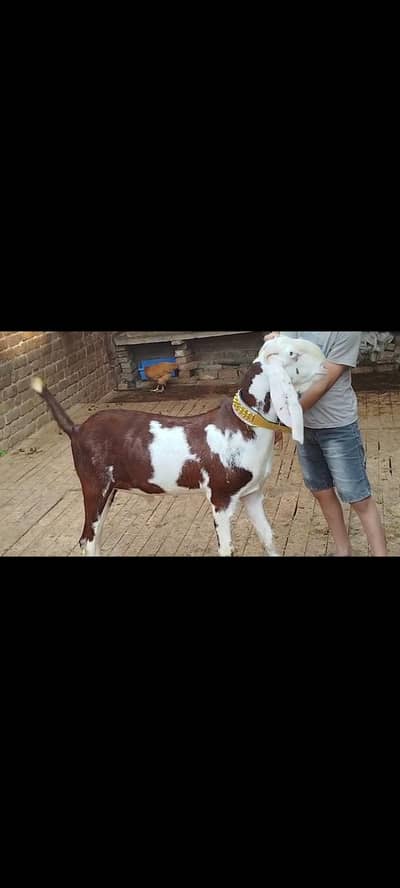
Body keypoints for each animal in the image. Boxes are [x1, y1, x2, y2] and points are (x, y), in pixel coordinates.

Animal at [30, 336, 326, 556]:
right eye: (292, 353)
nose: (326, 363)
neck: (243, 425)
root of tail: (77, 428)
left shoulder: (251, 494)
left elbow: (268, 537)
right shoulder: (220, 498)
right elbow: (227, 548)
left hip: (109, 490)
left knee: (93, 537)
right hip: (95, 487)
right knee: (88, 539)